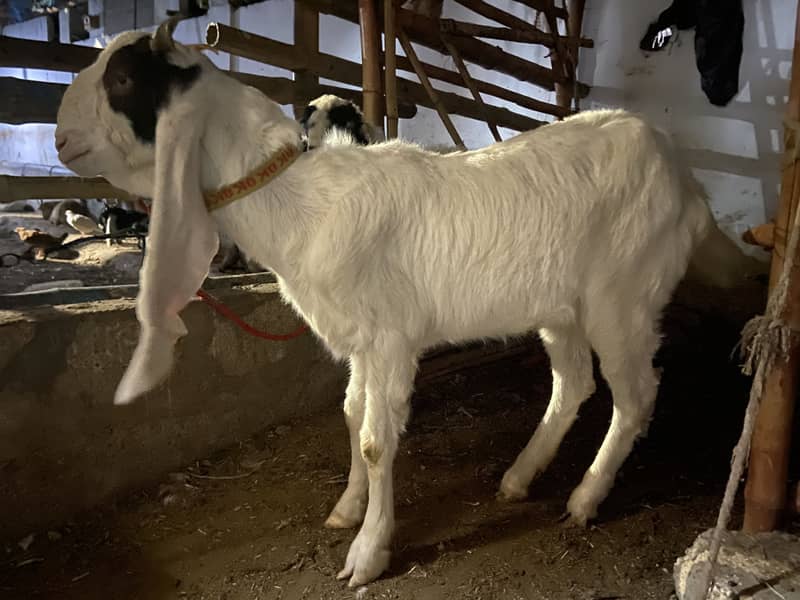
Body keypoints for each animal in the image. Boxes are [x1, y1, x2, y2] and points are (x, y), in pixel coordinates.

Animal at [54, 20, 762, 587]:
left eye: (123, 78)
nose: (59, 139)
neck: (300, 204)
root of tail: (686, 181)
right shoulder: (361, 339)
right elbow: (349, 416)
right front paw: (347, 510)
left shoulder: (391, 338)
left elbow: (374, 440)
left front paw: (368, 554)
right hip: (560, 306)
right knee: (573, 384)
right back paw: (519, 478)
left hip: (624, 294)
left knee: (635, 394)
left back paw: (586, 498)